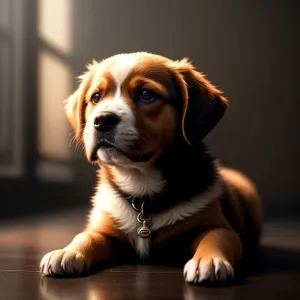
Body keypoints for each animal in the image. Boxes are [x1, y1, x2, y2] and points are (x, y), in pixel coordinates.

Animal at [40, 51, 262, 284]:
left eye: (146, 95)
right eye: (96, 97)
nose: (101, 120)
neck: (141, 183)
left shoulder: (217, 225)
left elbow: (216, 237)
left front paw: (209, 260)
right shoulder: (104, 228)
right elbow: (86, 236)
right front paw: (67, 252)